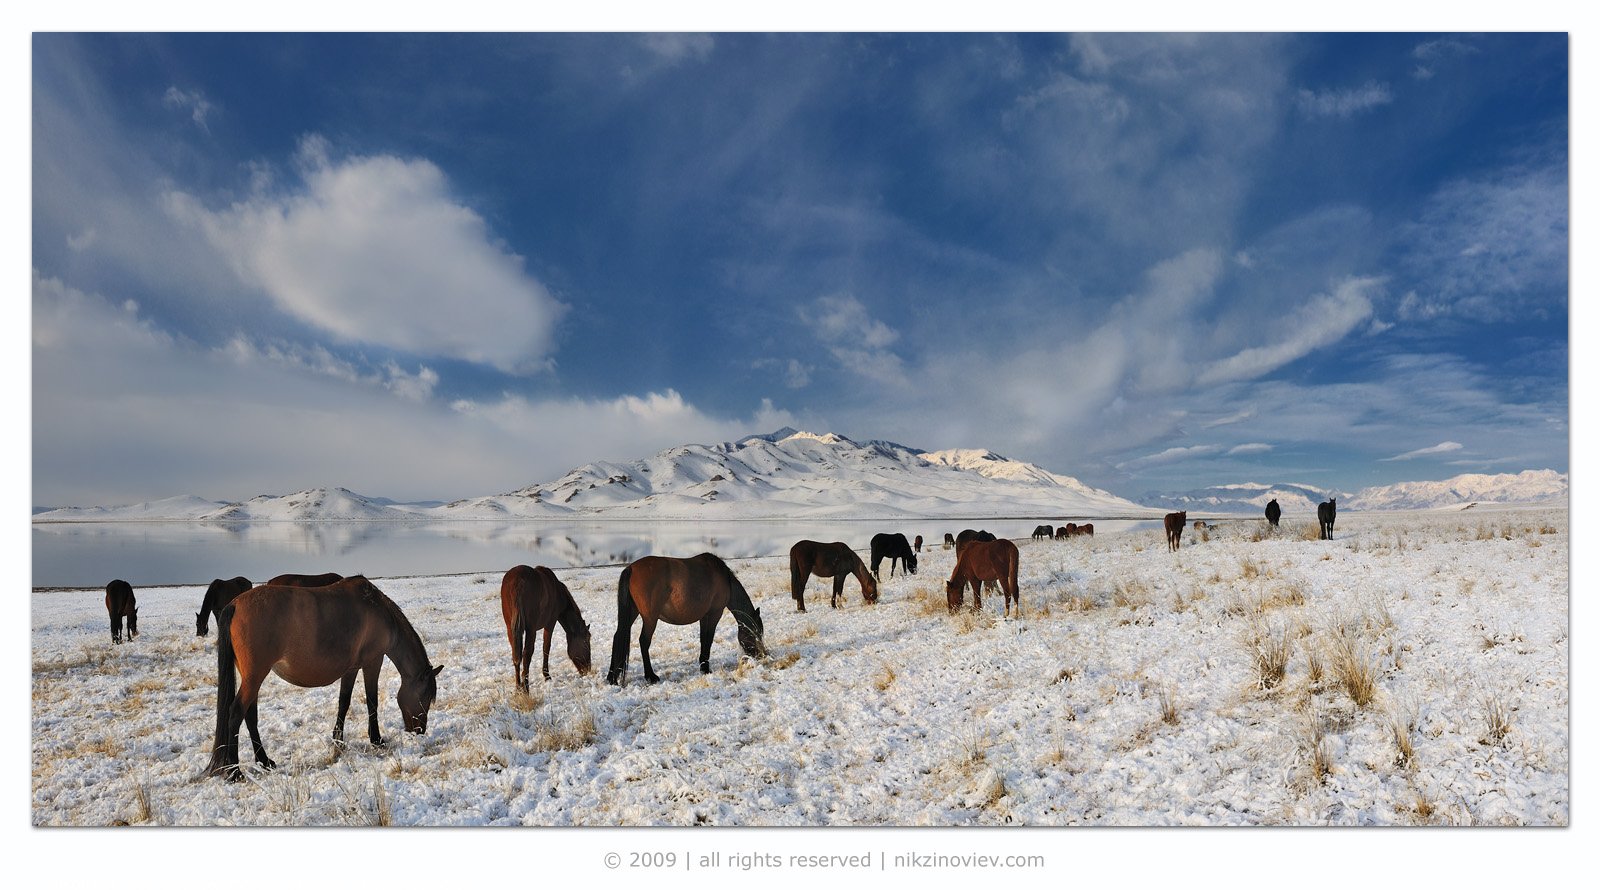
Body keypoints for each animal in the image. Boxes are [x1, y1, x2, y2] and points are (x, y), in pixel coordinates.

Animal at [209, 576, 444, 777]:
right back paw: (234, 772)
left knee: (249, 715)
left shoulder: (351, 669)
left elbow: (344, 702)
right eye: (425, 698)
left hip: (252, 677)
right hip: (255, 676)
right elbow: (372, 702)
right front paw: (376, 739)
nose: (419, 731)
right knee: (236, 713)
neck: (378, 611)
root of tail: (235, 604)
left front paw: (338, 741)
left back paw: (264, 761)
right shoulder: (373, 662)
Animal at [604, 553, 768, 685]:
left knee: (618, 636)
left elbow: (704, 639)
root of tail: (631, 568)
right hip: (650, 618)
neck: (724, 578)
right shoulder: (714, 614)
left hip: (633, 613)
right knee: (644, 641)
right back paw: (651, 676)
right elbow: (708, 640)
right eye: (755, 633)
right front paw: (706, 668)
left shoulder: (704, 616)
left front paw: (703, 666)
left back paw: (612, 678)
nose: (761, 655)